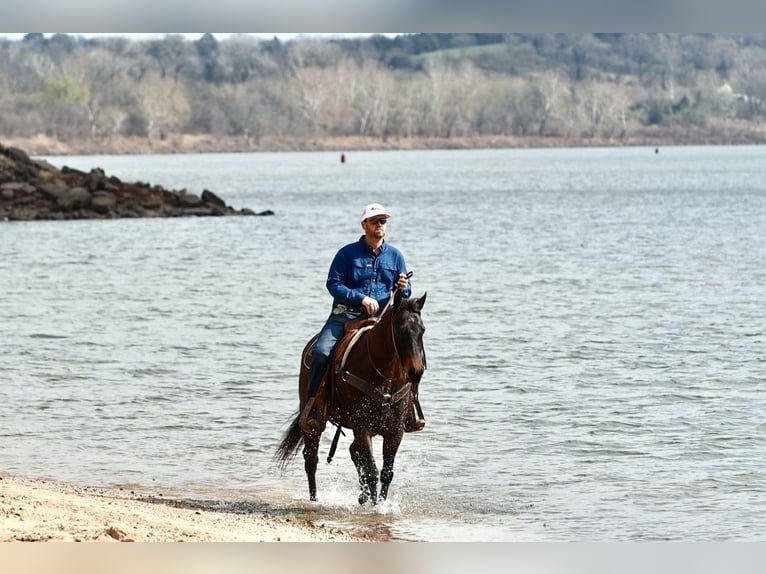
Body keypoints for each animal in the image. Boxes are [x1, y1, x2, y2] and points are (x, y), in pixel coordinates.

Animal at [275, 289, 427, 505]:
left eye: (422, 330)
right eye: (399, 329)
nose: (416, 372)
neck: (383, 374)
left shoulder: (395, 431)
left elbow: (386, 473)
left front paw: (380, 503)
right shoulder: (362, 427)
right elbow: (372, 471)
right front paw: (374, 505)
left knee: (353, 452)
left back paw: (362, 496)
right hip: (313, 425)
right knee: (311, 460)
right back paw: (314, 499)